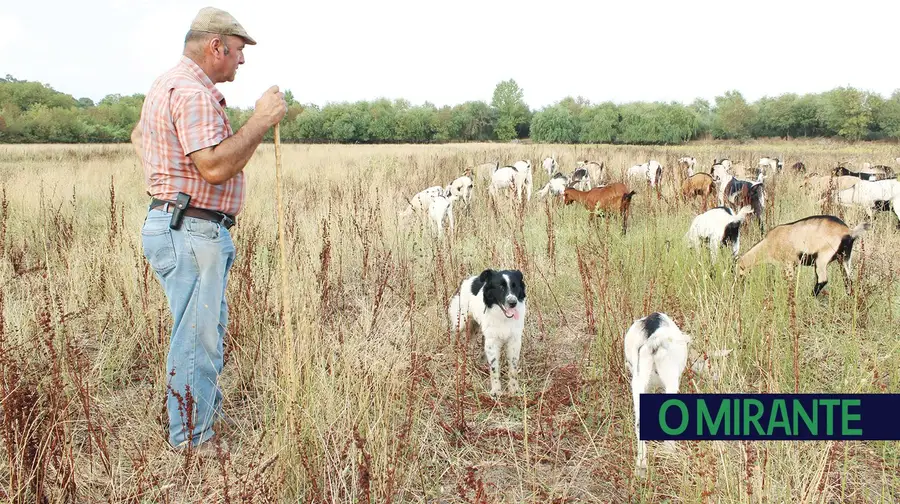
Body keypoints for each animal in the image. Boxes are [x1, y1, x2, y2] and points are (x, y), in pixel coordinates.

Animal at [448, 268, 528, 398]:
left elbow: (513, 369)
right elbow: (494, 369)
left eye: (515, 286)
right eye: (500, 287)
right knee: (457, 337)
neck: (503, 317)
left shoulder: (514, 341)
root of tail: (468, 279)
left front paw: (514, 389)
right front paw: (496, 391)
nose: (513, 303)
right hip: (462, 323)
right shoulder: (492, 342)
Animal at [736, 214, 868, 296]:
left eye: (738, 272)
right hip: (844, 259)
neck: (769, 243)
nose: (738, 287)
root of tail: (849, 232)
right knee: (848, 280)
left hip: (821, 259)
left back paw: (811, 296)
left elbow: (790, 282)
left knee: (823, 280)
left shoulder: (788, 263)